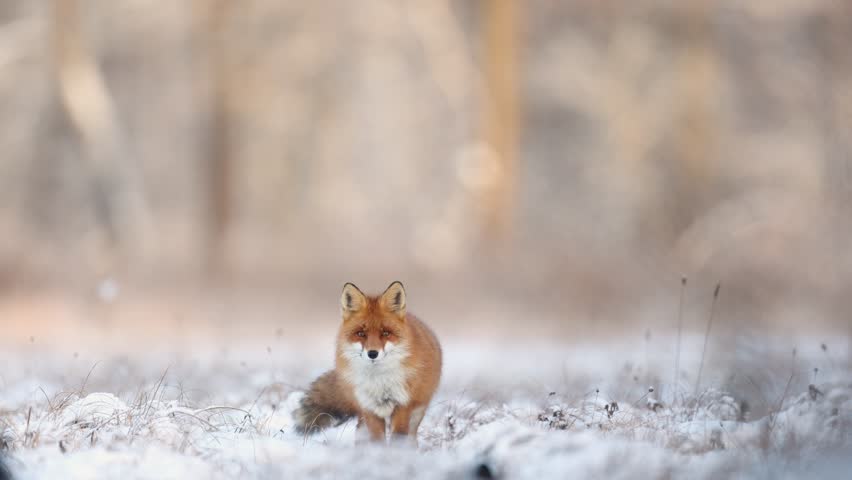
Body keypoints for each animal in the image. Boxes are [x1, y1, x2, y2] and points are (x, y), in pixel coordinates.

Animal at [294, 281, 442, 445]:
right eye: (361, 333)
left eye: (385, 333)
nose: (372, 353)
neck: (379, 381)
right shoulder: (369, 408)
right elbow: (377, 440)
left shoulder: (403, 405)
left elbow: (397, 438)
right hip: (363, 417)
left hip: (417, 412)